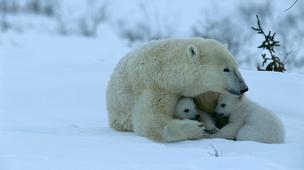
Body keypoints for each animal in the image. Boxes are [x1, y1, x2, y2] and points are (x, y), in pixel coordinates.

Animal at [105, 37, 248, 142]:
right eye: (226, 69)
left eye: (236, 66)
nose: (244, 88)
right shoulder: (156, 87)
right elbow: (150, 120)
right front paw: (197, 128)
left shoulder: (202, 91)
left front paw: (211, 126)